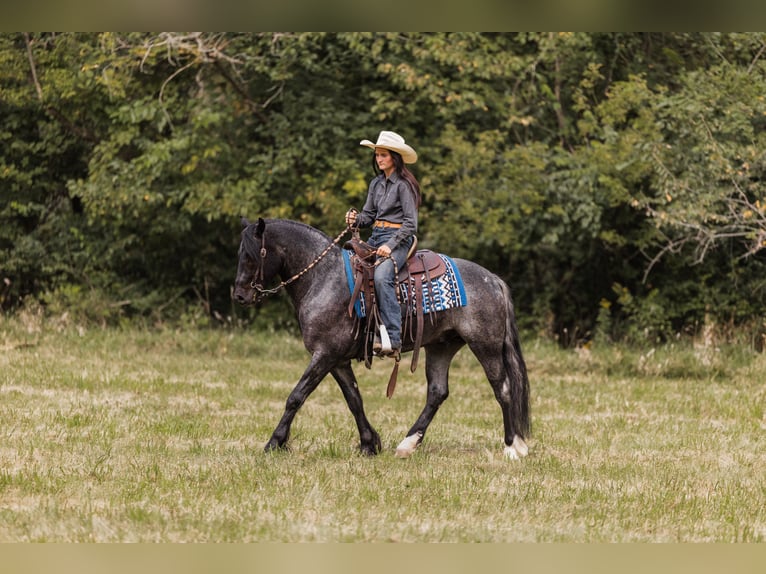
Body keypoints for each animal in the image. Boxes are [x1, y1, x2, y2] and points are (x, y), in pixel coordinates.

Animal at [233, 217, 531, 460]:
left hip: (485, 346)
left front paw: (274, 443)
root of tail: (493, 279)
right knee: (437, 392)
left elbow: (296, 396)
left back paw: (512, 446)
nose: (239, 296)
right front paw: (369, 443)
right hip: (441, 346)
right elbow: (354, 399)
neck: (323, 277)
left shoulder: (325, 353)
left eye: (252, 254)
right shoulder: (337, 359)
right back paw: (407, 444)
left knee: (503, 388)